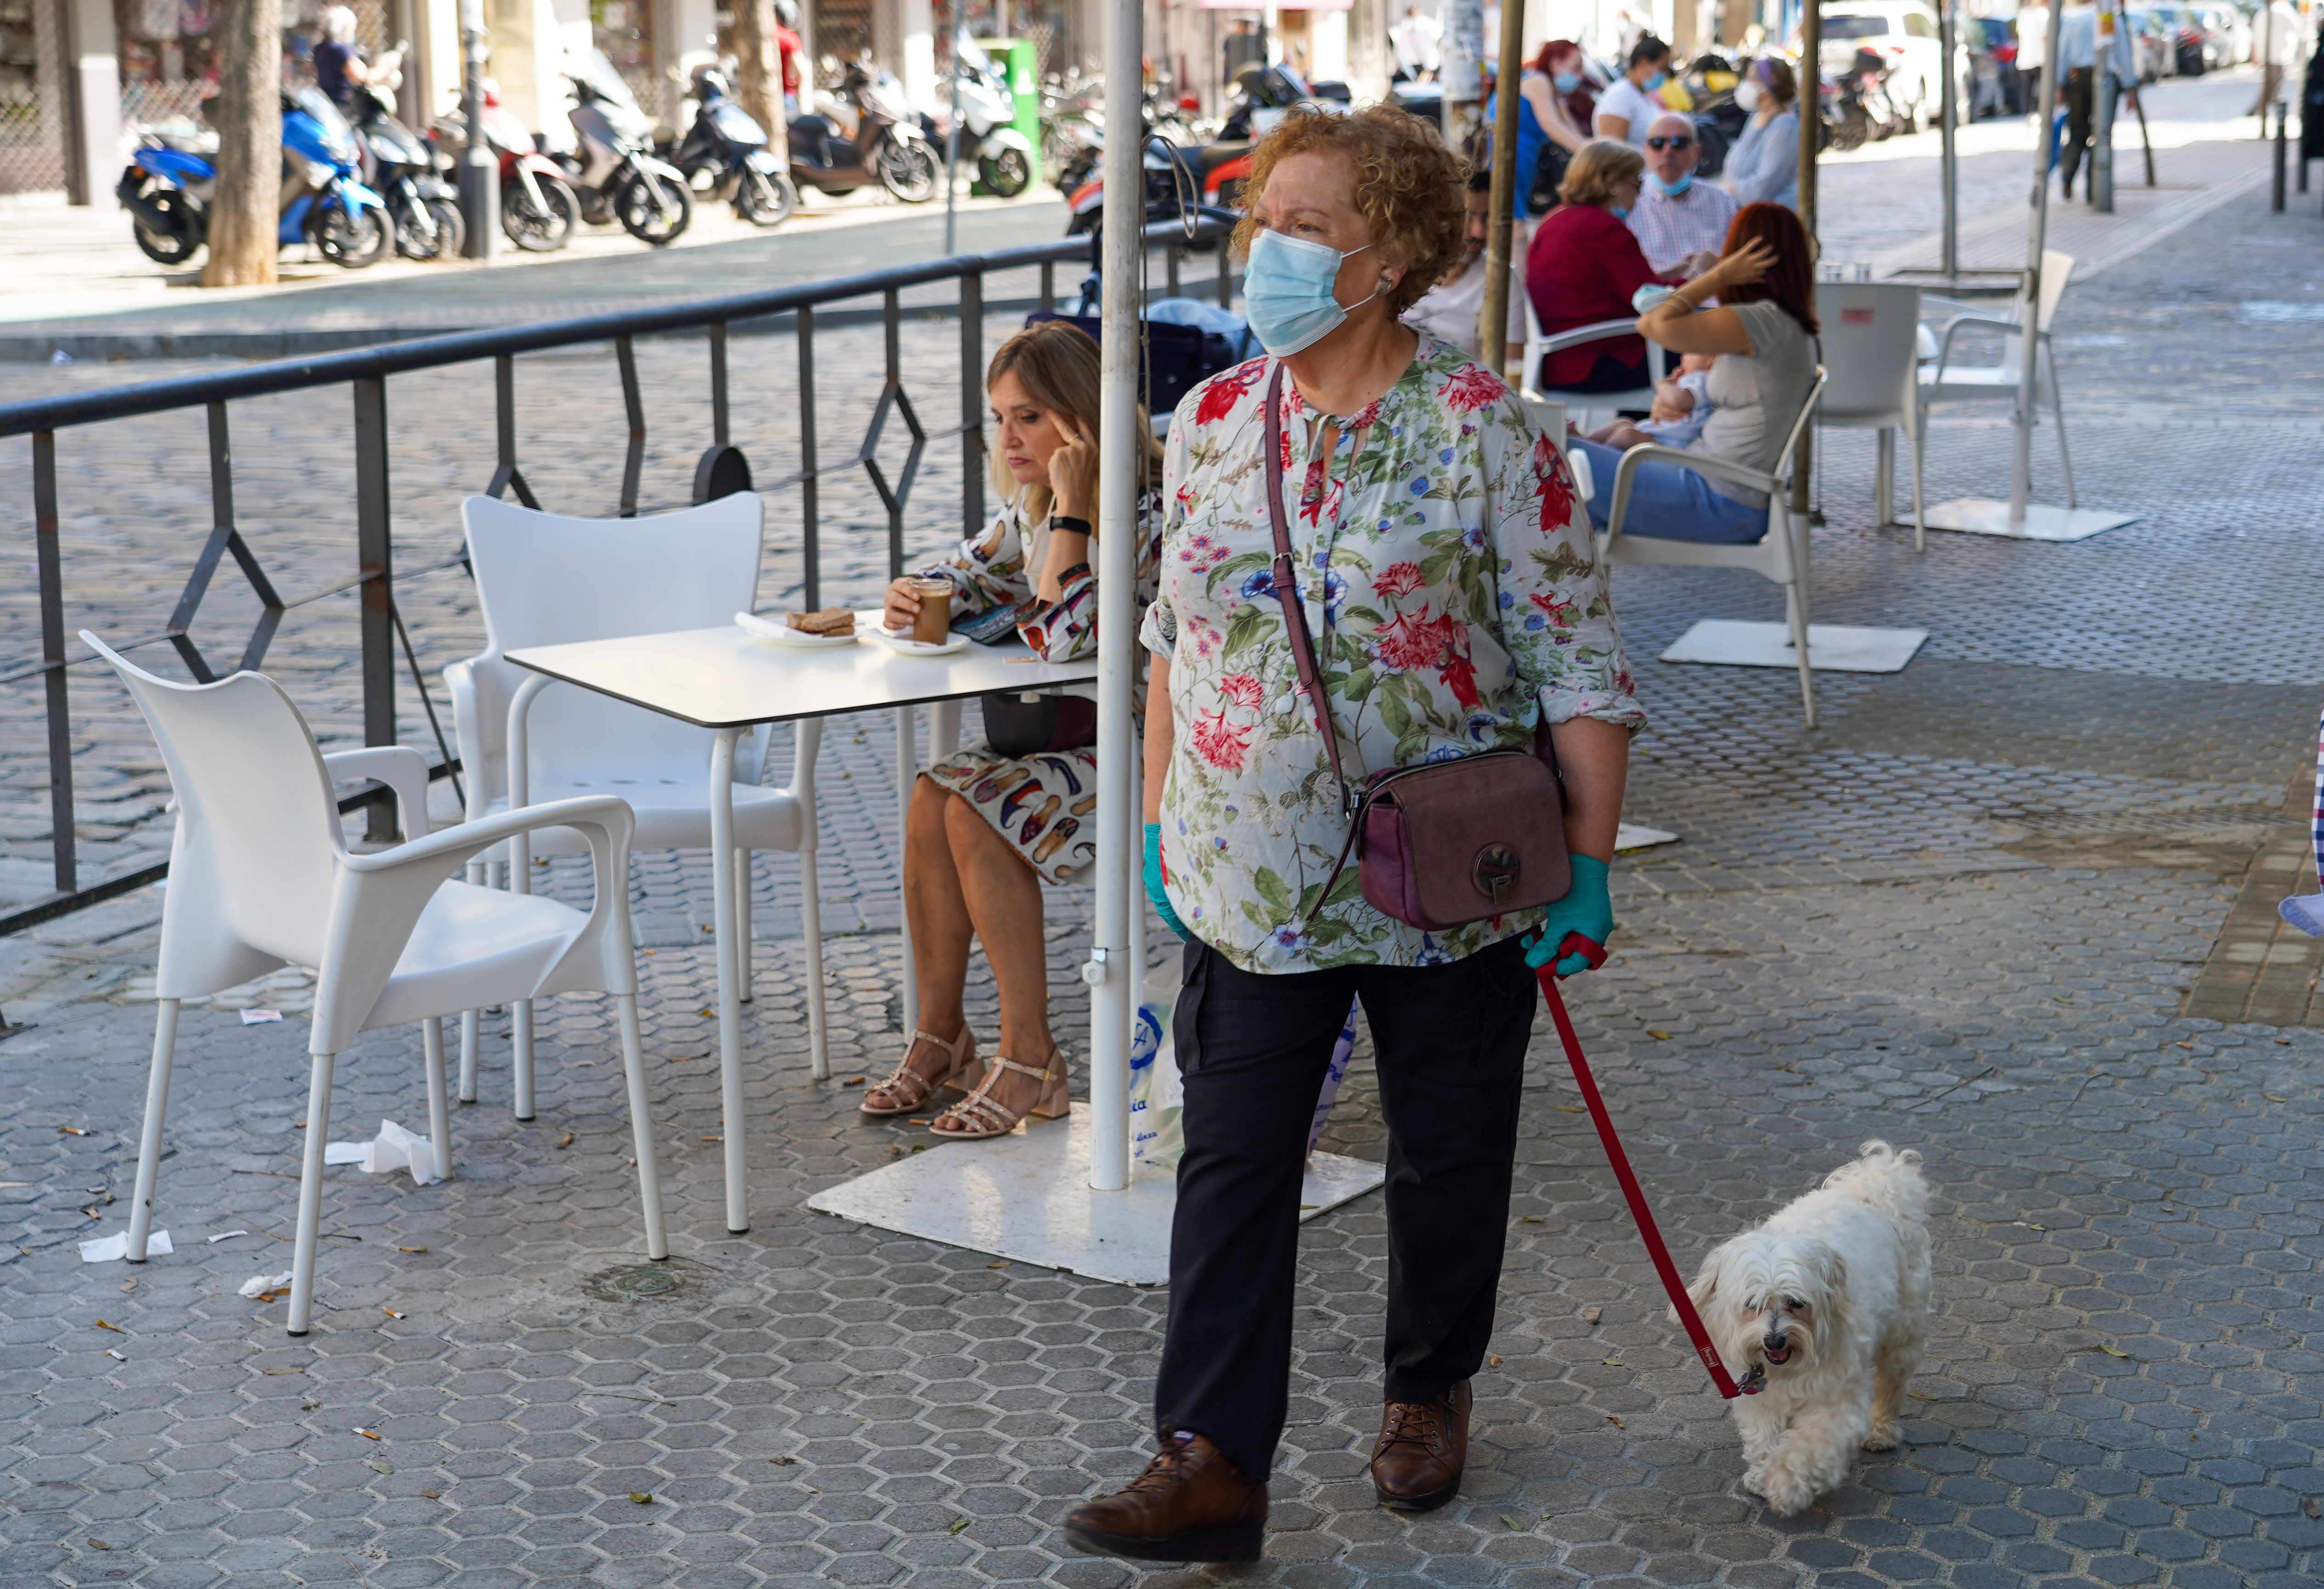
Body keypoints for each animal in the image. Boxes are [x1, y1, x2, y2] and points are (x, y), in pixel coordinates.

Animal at [1683, 1143, 1933, 1515]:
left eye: (1797, 1302)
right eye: (1752, 1304)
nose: (1774, 1341)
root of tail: (1870, 1191)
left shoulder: (1835, 1401)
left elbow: (1810, 1448)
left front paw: (1786, 1484)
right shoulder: (1759, 1398)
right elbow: (1764, 1435)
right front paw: (1762, 1473)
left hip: (1901, 1333)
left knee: (1891, 1383)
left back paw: (1881, 1431)